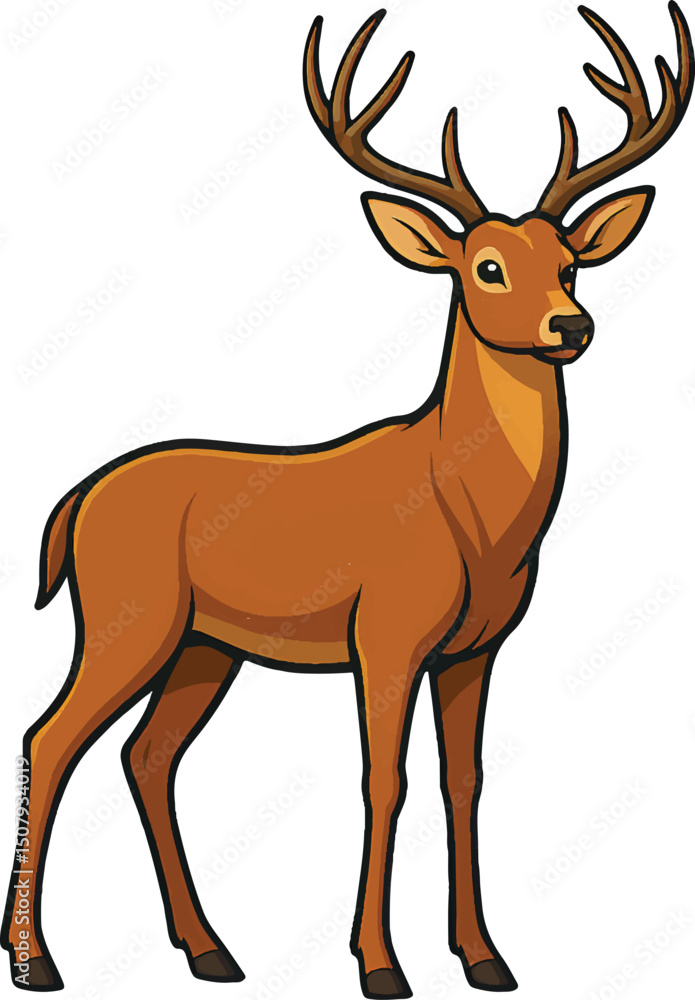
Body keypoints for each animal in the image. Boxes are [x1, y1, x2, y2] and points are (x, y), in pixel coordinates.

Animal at [2, 3, 692, 995]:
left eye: (569, 262)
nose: (571, 324)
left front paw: (485, 958)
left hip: (205, 644)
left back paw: (209, 950)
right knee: (50, 738)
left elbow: (462, 780)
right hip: (127, 615)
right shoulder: (387, 631)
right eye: (485, 266)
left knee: (148, 754)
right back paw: (36, 959)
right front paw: (379, 965)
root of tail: (72, 504)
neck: (471, 517)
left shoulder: (477, 647)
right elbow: (383, 781)